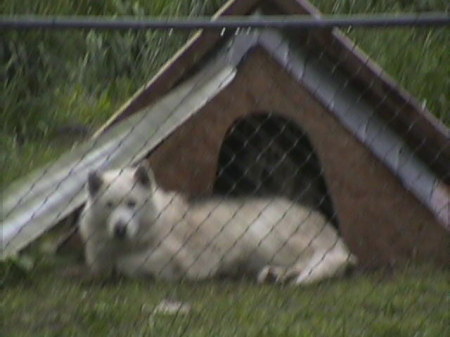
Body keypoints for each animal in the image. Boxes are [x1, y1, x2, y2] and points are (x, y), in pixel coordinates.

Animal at [79, 163, 356, 284]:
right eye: (110, 205)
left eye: (131, 203)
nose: (120, 229)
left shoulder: (174, 258)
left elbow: (127, 264)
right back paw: (275, 274)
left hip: (262, 233)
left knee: (319, 258)